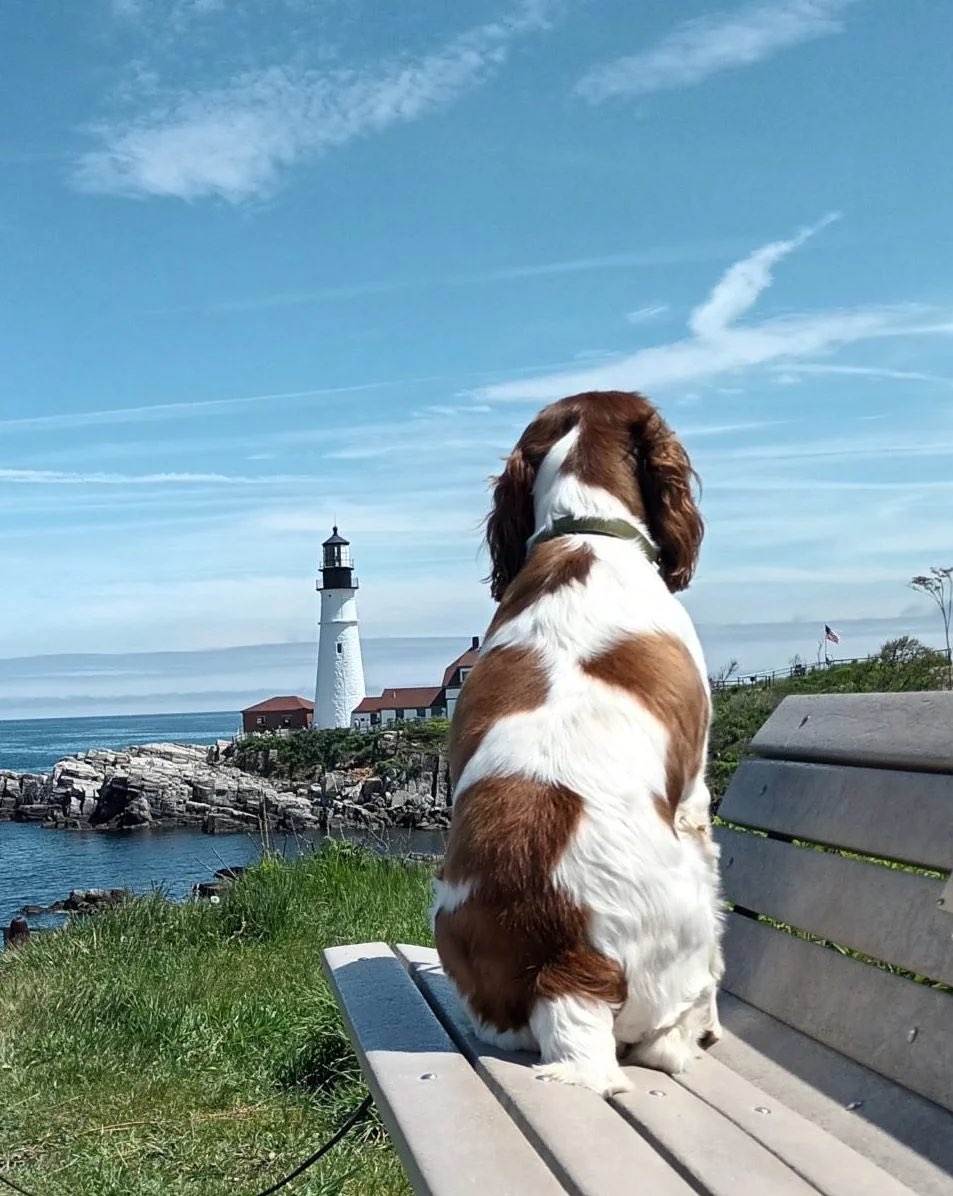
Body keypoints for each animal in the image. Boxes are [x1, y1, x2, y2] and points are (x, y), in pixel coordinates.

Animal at [430, 389, 722, 1095]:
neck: (583, 528)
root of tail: (566, 972)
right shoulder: (695, 795)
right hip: (688, 912)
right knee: (667, 1038)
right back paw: (697, 1033)